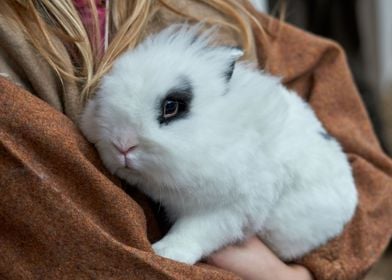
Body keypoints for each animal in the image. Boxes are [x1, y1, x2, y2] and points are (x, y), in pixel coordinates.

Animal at [79, 24, 358, 264]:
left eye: (171, 107)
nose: (122, 144)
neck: (223, 132)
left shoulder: (227, 207)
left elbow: (195, 230)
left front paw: (167, 253)